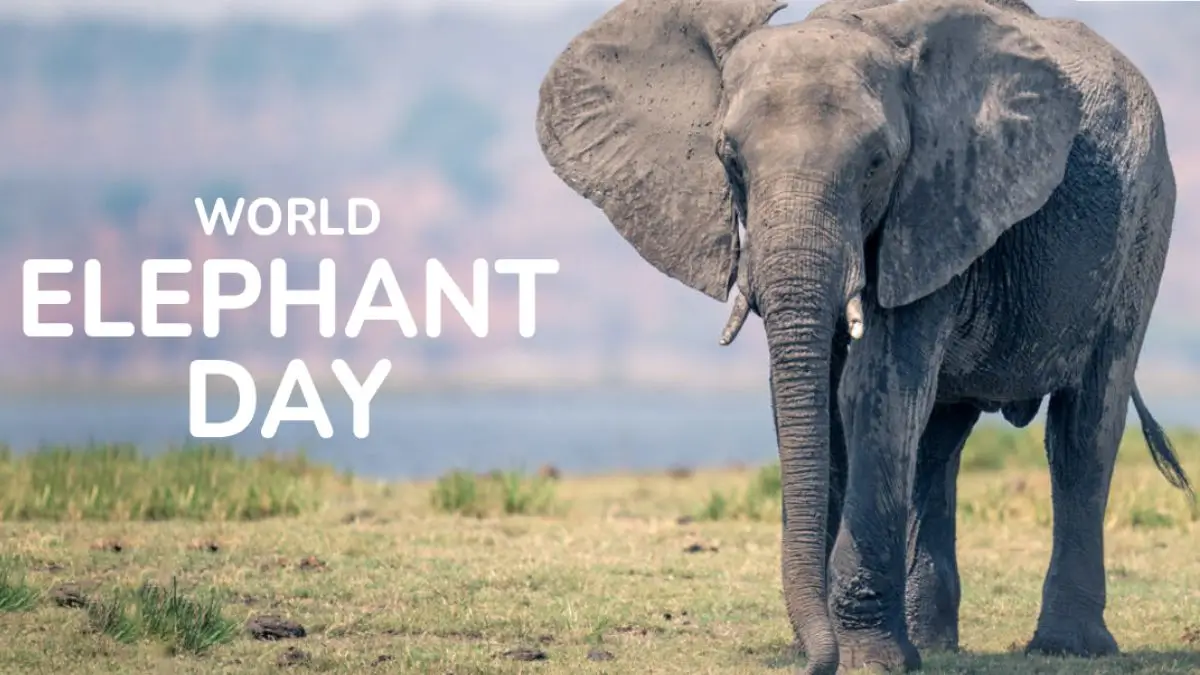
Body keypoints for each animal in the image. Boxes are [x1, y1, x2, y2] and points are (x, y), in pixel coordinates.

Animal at [535, 0, 1195, 672]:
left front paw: (866, 660)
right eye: (729, 160)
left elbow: (870, 390)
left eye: (877, 164)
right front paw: (842, 650)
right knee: (938, 436)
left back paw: (1068, 648)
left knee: (1085, 422)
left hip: (1146, 220)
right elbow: (816, 398)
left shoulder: (934, 201)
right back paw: (932, 642)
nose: (809, 658)